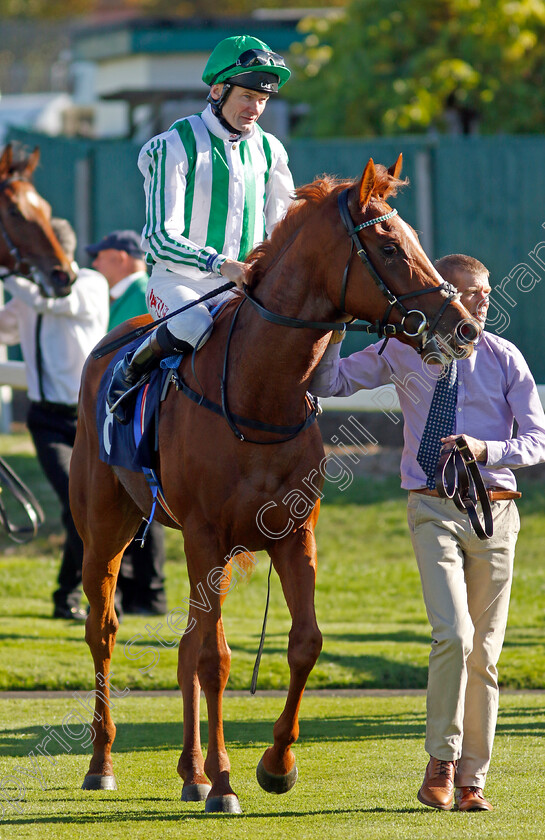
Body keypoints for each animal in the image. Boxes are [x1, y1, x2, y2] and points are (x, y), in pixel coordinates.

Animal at [71, 158, 476, 812]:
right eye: (390, 245)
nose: (463, 327)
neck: (258, 393)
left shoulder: (294, 533)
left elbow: (303, 642)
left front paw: (274, 764)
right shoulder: (206, 535)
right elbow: (216, 660)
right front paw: (226, 783)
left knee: (186, 644)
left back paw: (190, 770)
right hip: (106, 530)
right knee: (104, 631)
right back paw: (104, 761)